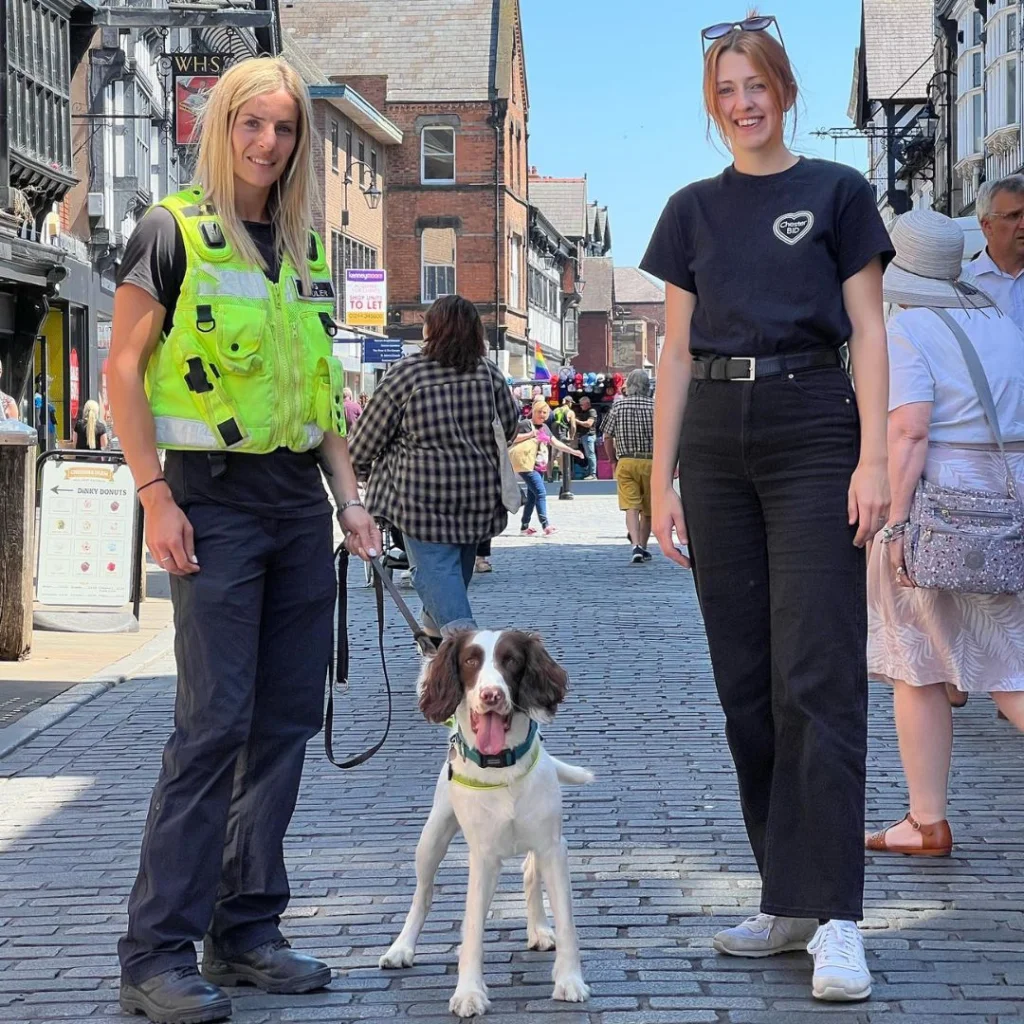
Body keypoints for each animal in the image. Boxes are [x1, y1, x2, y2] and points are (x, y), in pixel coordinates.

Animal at [382, 626, 593, 1019]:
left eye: (511, 660)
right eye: (470, 661)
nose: (491, 695)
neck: (502, 768)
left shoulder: (553, 847)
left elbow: (567, 922)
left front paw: (569, 980)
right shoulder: (482, 858)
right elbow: (473, 929)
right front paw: (468, 992)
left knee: (529, 873)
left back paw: (539, 929)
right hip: (431, 839)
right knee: (423, 894)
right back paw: (401, 948)